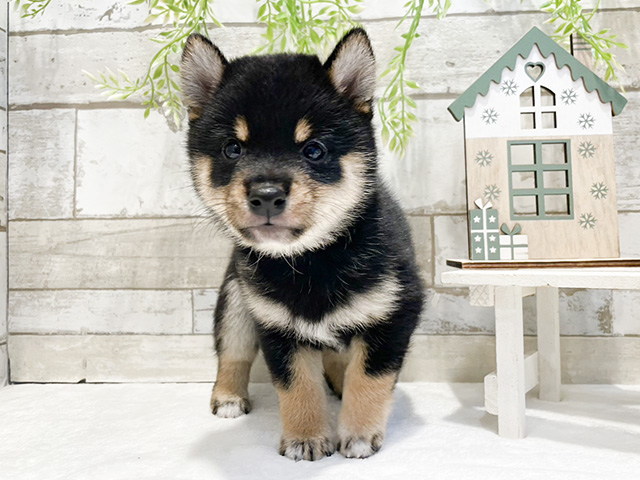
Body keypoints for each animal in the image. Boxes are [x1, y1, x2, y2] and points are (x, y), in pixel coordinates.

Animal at [180, 27, 424, 462]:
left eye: (314, 150)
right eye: (232, 149)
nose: (266, 195)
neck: (310, 261)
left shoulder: (393, 315)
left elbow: (369, 379)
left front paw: (359, 433)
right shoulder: (275, 327)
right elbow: (297, 386)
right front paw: (306, 437)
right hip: (236, 301)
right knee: (233, 353)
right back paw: (228, 396)